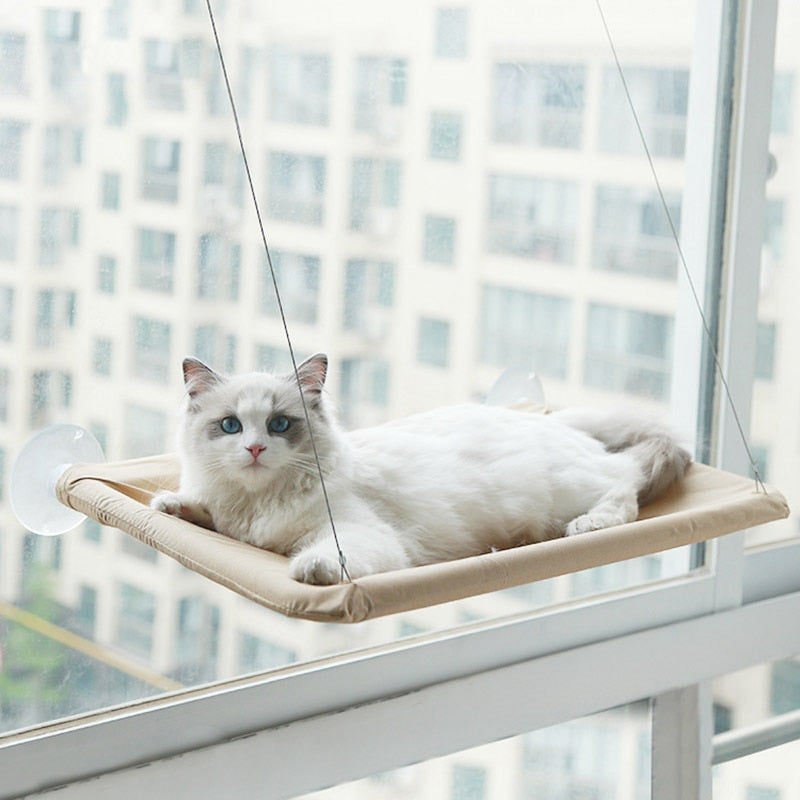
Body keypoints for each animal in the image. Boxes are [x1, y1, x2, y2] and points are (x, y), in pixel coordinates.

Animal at [153, 354, 692, 584]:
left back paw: (589, 525)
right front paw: (171, 505)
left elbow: (330, 554)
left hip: (569, 488)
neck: (257, 503)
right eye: (230, 426)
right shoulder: (231, 518)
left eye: (279, 424)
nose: (255, 449)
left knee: (624, 487)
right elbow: (202, 510)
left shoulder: (359, 533)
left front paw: (312, 569)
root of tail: (550, 421)